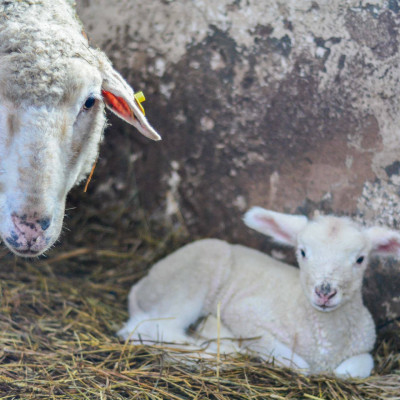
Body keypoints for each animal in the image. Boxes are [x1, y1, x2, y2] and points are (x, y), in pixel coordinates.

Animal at [119, 208, 400, 380]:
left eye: (360, 259)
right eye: (302, 252)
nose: (325, 292)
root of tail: (142, 283)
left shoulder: (364, 344)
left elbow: (356, 368)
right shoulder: (246, 314)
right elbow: (296, 363)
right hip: (190, 280)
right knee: (147, 328)